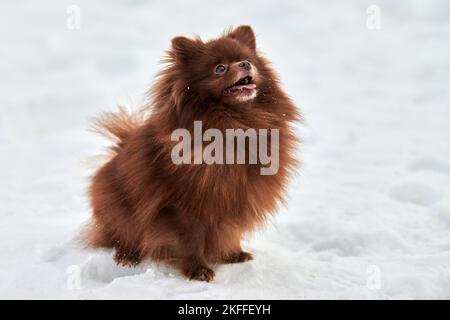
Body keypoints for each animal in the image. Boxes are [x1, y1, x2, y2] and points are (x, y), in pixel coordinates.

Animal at [86, 25, 300, 282]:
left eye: (247, 60)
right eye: (220, 68)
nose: (246, 65)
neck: (237, 124)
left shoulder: (232, 197)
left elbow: (228, 230)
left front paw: (232, 254)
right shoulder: (183, 207)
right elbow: (190, 241)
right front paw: (198, 270)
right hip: (119, 210)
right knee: (120, 236)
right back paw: (127, 257)